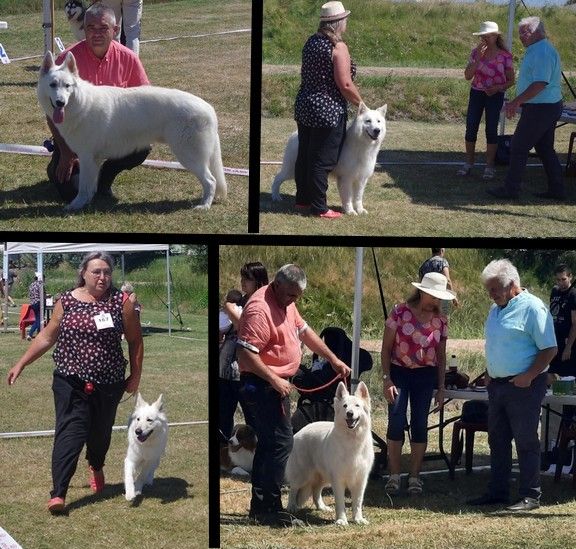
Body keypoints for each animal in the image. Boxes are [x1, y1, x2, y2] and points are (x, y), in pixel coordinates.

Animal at [37, 51, 226, 211]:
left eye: (67, 86)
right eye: (53, 85)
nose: (60, 102)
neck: (81, 104)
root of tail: (209, 108)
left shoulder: (86, 157)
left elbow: (83, 187)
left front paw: (76, 205)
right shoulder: (93, 160)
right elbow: (90, 186)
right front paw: (87, 202)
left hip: (188, 156)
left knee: (211, 181)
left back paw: (204, 206)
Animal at [286, 382, 376, 528]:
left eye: (357, 405)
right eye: (345, 406)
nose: (350, 413)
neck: (352, 440)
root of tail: (300, 431)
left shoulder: (360, 480)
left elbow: (357, 502)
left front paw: (358, 519)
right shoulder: (338, 480)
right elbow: (340, 502)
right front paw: (342, 520)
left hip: (323, 477)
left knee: (316, 491)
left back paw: (321, 507)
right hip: (302, 475)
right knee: (293, 489)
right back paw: (291, 506)